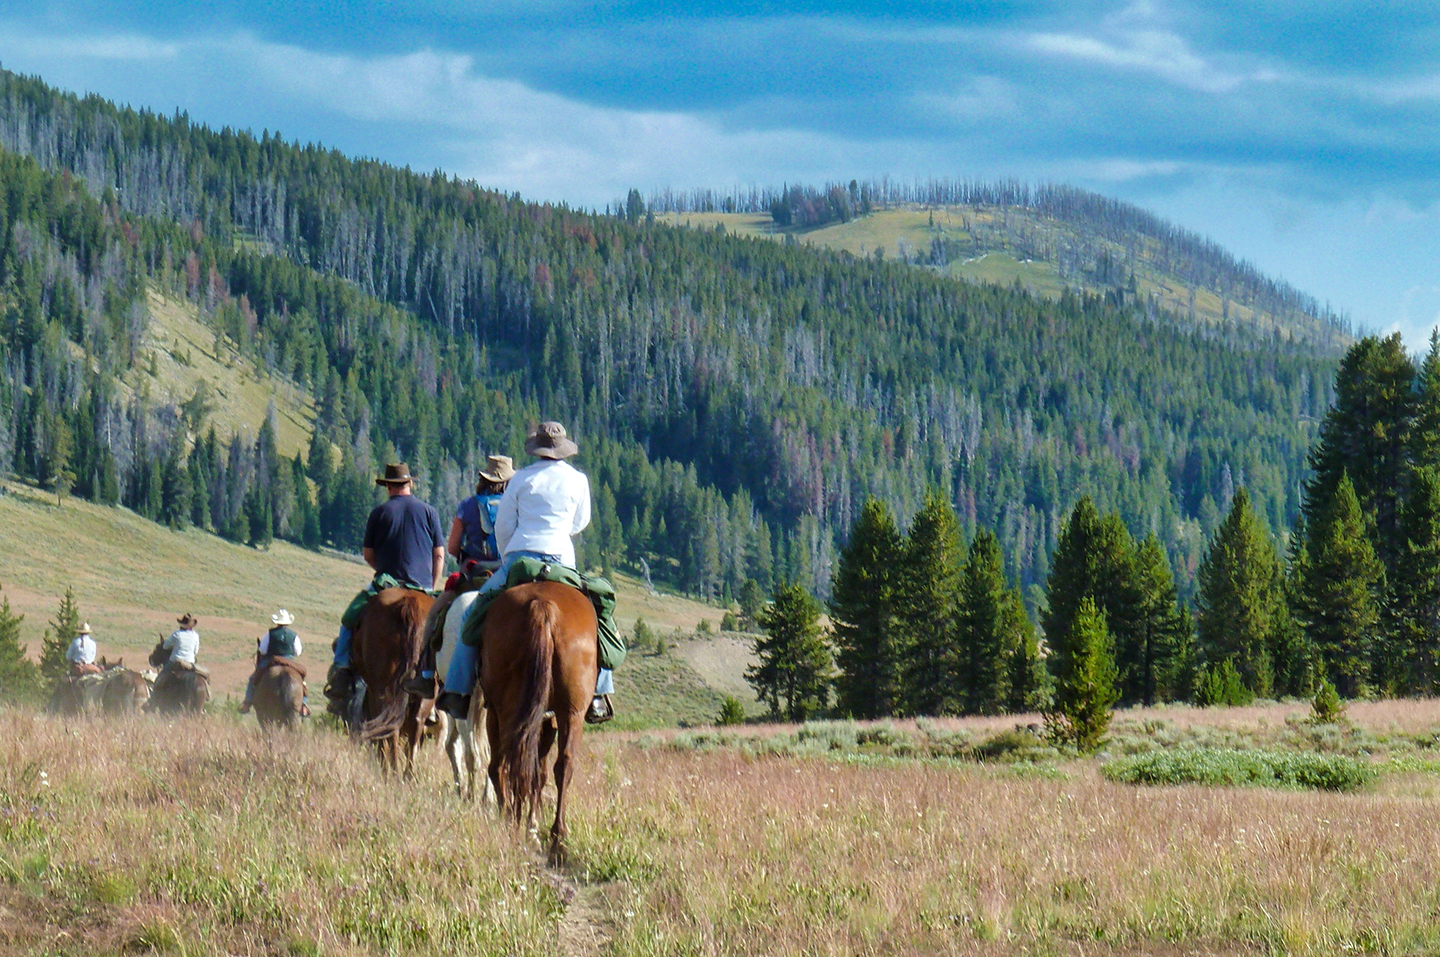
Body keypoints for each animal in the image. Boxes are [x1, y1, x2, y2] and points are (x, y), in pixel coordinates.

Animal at [352, 587, 432, 771]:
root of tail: (410, 603)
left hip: (383, 689)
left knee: (390, 726)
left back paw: (391, 770)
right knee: (416, 723)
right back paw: (408, 773)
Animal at [480, 578, 599, 863]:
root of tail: (543, 607)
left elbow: (531, 771)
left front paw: (528, 825)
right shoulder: (551, 720)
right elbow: (540, 772)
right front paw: (532, 825)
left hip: (507, 710)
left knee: (507, 764)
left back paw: (513, 822)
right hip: (572, 713)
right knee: (562, 766)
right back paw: (557, 838)